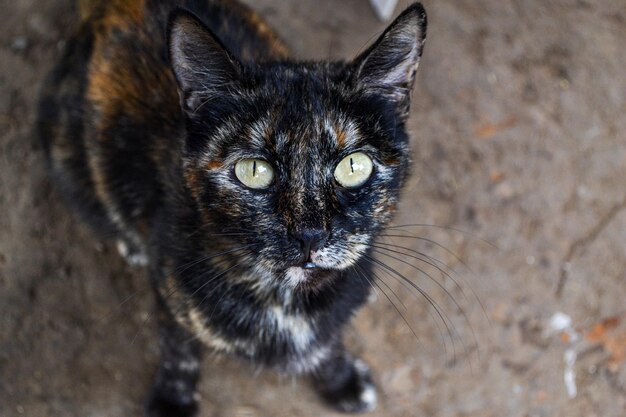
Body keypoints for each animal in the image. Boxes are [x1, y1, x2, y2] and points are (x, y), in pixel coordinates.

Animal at [36, 1, 426, 414]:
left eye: (353, 166)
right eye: (253, 170)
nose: (310, 235)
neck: (284, 303)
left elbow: (328, 343)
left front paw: (342, 380)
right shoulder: (171, 293)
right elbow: (179, 349)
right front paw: (173, 399)